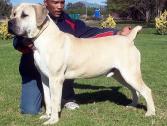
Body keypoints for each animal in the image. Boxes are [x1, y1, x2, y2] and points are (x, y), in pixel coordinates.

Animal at [8, 3, 155, 125]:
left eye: (24, 15)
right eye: (14, 14)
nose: (9, 22)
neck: (44, 38)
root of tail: (128, 39)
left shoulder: (56, 78)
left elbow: (54, 100)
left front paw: (53, 120)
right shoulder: (44, 78)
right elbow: (48, 99)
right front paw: (47, 115)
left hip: (130, 73)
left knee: (146, 90)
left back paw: (150, 113)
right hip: (120, 75)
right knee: (134, 90)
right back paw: (132, 105)